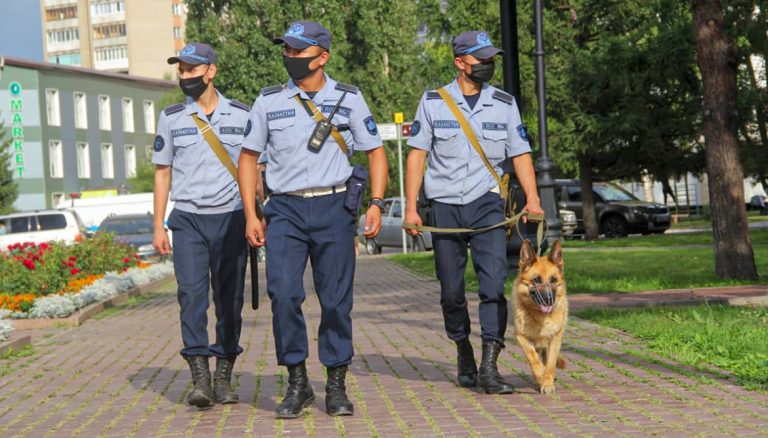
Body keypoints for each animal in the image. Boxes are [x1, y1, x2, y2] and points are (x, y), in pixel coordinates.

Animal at [512, 240, 568, 394]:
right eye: (536, 280)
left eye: (553, 280)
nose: (549, 300)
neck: (540, 316)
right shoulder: (521, 337)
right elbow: (533, 359)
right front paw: (540, 377)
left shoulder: (555, 340)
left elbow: (550, 365)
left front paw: (547, 383)